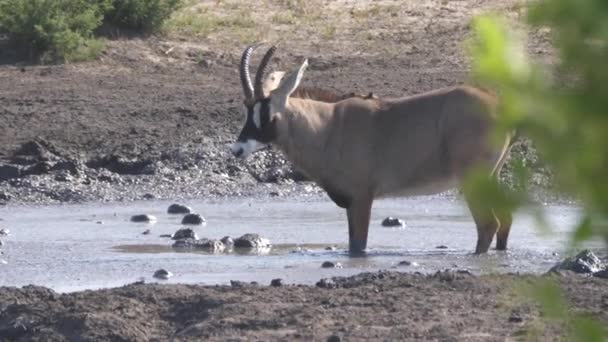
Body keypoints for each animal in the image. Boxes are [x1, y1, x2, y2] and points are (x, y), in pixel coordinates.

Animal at [230, 44, 516, 255]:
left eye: (265, 111)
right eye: (247, 107)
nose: (237, 149)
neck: (327, 126)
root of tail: (499, 106)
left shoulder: (361, 198)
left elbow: (358, 246)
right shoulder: (351, 202)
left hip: (473, 181)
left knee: (488, 225)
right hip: (492, 177)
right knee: (504, 220)